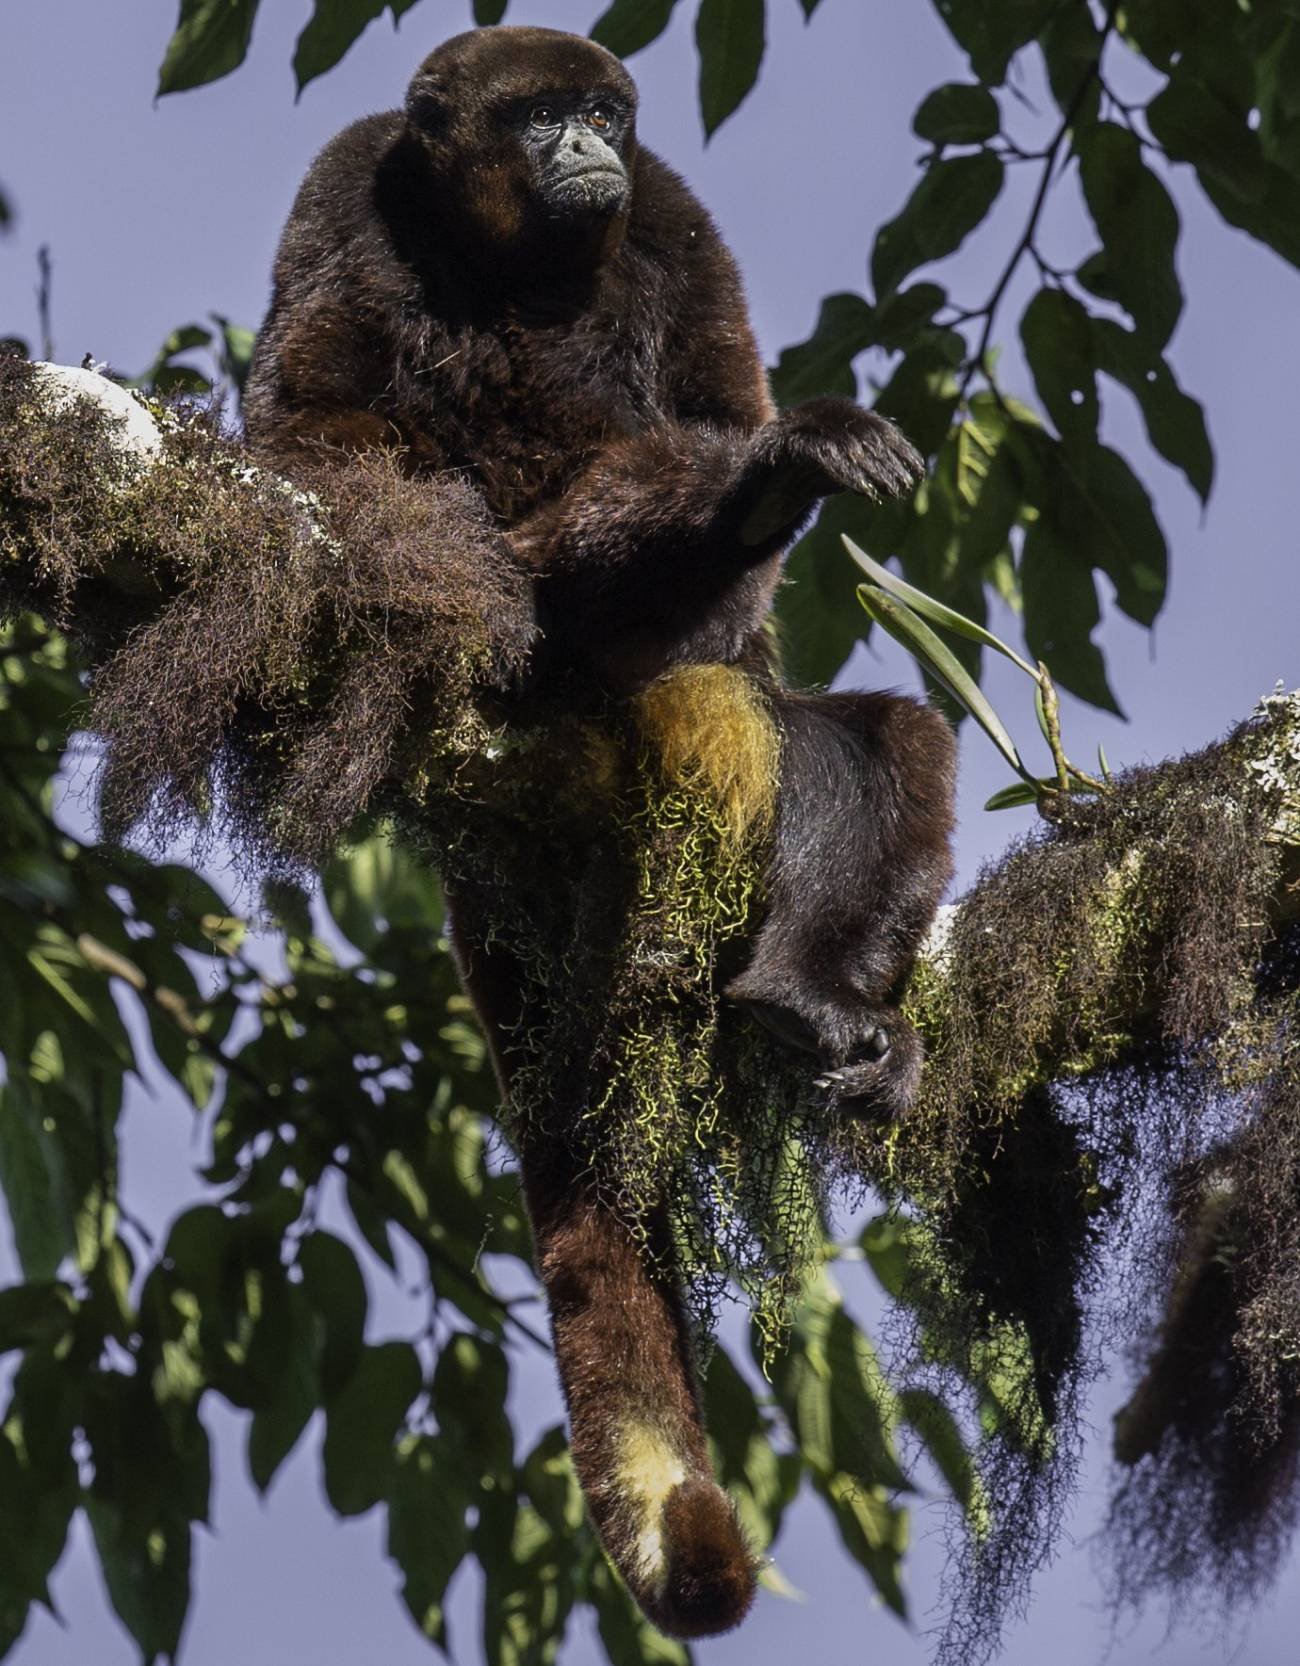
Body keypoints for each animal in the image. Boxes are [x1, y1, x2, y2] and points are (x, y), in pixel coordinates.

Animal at [243, 26, 953, 1639]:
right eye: (538, 116)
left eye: (604, 117)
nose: (587, 149)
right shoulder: (344, 183)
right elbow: (308, 423)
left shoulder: (672, 215)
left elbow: (711, 408)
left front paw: (765, 477)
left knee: (865, 731)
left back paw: (809, 988)